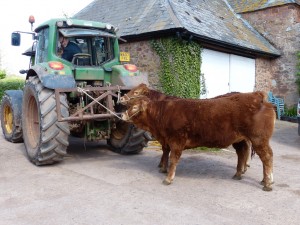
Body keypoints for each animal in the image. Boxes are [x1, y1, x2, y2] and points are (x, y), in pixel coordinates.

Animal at [120, 92, 276, 191]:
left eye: (134, 107)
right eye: (129, 106)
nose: (121, 115)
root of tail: (257, 96)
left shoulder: (177, 140)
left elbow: (173, 158)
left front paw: (168, 178)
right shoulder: (167, 141)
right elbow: (166, 154)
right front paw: (164, 170)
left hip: (258, 139)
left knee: (267, 157)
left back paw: (268, 183)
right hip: (241, 139)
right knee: (244, 154)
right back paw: (244, 175)